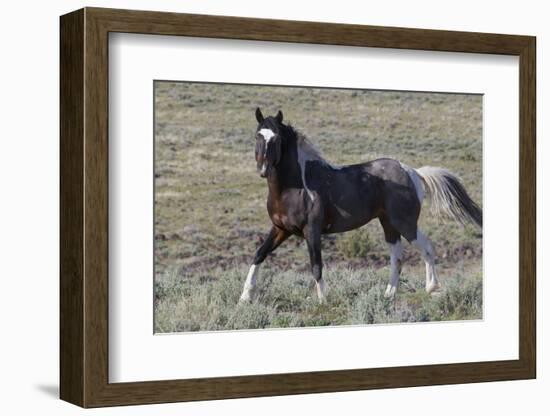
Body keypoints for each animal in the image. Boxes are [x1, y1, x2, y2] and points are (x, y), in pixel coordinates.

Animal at [239, 107, 480, 302]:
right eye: (257, 135)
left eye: (277, 139)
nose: (263, 169)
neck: (294, 187)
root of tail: (413, 172)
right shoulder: (281, 229)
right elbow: (259, 254)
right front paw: (245, 298)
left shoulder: (312, 230)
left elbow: (316, 265)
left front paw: (323, 301)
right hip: (388, 224)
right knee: (397, 258)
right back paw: (388, 295)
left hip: (404, 223)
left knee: (427, 248)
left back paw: (431, 288)